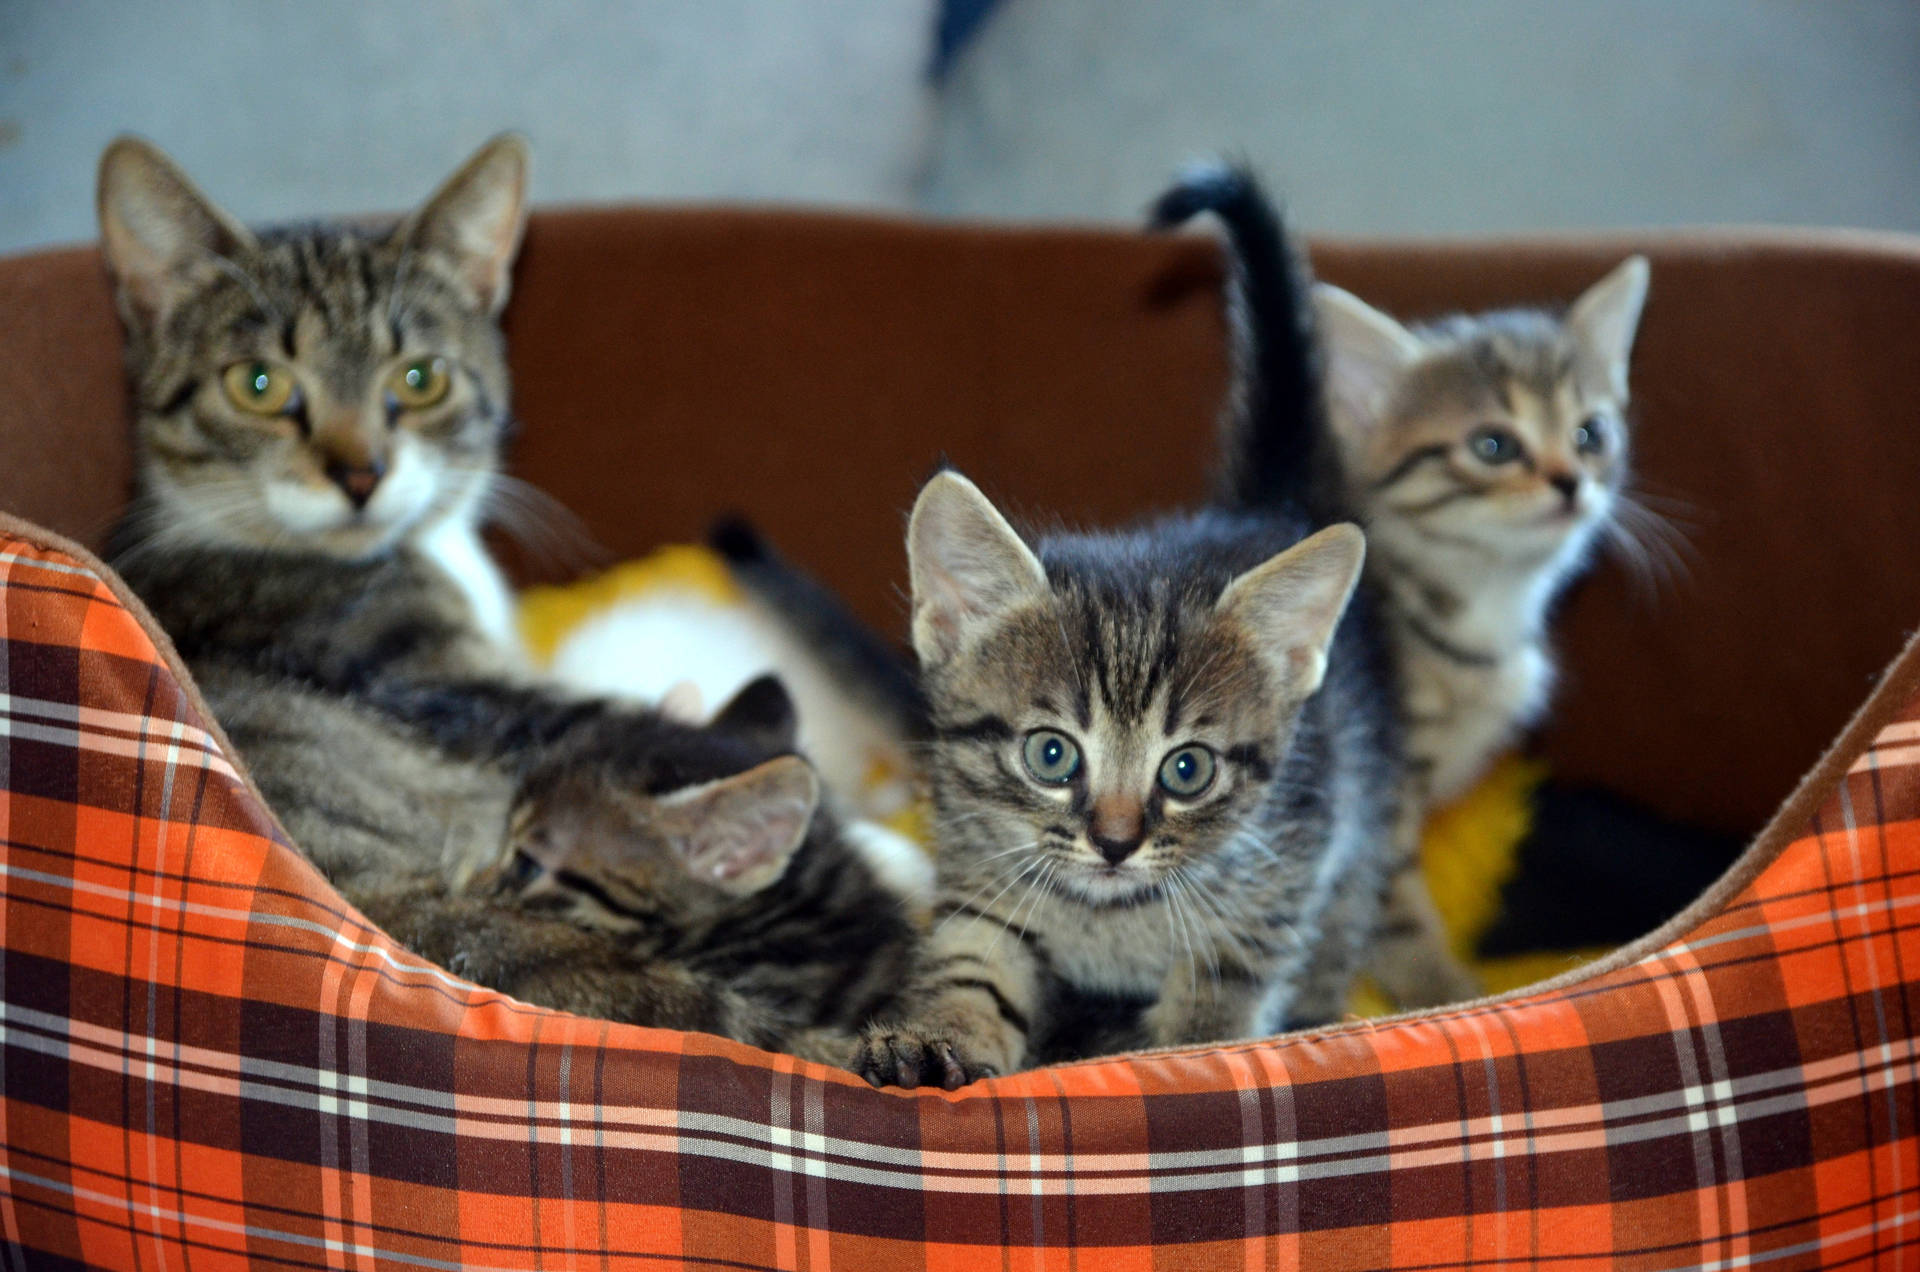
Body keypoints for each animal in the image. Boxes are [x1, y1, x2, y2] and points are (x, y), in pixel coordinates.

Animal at [95, 134, 913, 1060]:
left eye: (419, 379)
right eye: (258, 385)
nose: (361, 474)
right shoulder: (439, 680)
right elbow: (618, 723)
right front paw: (886, 851)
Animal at [856, 472, 1397, 1091]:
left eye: (1188, 769)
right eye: (1050, 754)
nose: (1115, 843)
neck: (1106, 918)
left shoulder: (1271, 893)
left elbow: (1218, 1001)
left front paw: (1195, 1054)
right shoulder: (983, 874)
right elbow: (974, 967)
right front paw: (936, 1037)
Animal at [1152, 164, 1651, 1014]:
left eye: (1591, 433)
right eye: (1493, 446)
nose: (1571, 483)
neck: (1477, 603)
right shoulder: (1385, 780)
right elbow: (1397, 900)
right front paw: (1443, 988)